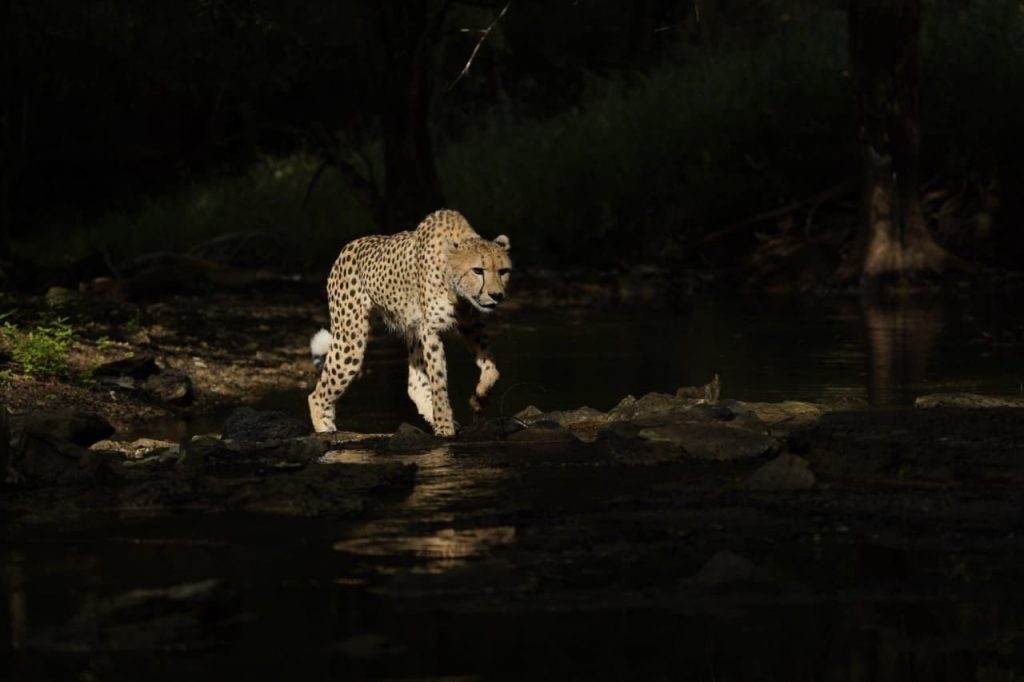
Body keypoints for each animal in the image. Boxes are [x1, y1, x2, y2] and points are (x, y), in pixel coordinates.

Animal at [307, 209, 512, 436]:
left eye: (503, 271)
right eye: (478, 270)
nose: (496, 295)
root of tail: (348, 247)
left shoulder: (470, 324)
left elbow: (491, 367)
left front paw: (479, 398)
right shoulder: (431, 330)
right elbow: (438, 382)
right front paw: (444, 428)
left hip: (412, 331)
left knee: (415, 386)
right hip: (351, 341)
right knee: (317, 394)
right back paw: (325, 430)